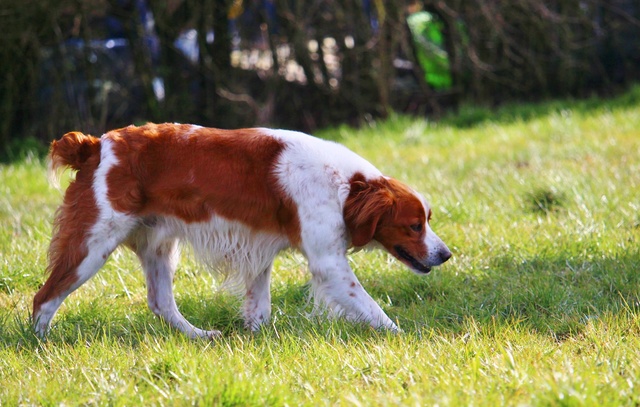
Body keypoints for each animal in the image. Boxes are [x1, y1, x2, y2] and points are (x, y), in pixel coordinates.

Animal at [32, 122, 450, 340]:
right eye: (414, 226)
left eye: (427, 220)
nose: (446, 254)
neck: (346, 187)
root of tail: (94, 145)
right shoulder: (329, 264)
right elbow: (373, 309)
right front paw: (405, 336)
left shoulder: (259, 255)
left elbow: (260, 310)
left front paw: (256, 341)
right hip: (91, 247)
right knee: (43, 298)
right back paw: (40, 343)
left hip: (158, 247)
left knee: (161, 303)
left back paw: (200, 337)